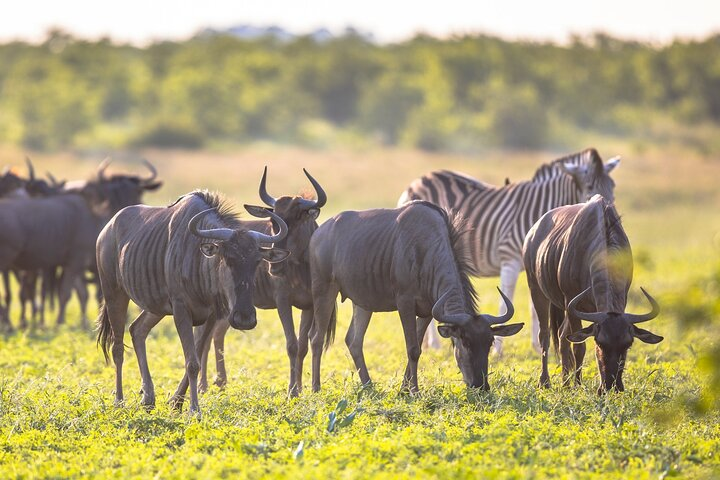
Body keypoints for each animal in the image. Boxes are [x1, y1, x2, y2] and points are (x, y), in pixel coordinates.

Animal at [400, 148, 620, 354]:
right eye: (590, 186)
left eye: (613, 186)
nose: (610, 215)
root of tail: (417, 182)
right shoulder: (509, 260)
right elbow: (505, 302)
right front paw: (498, 350)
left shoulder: (534, 265)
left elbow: (534, 308)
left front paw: (535, 346)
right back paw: (435, 345)